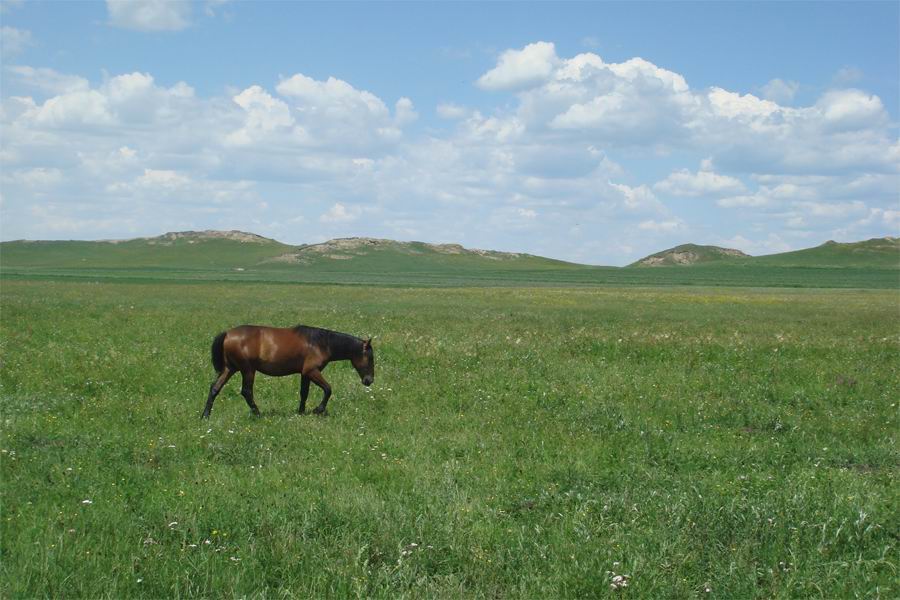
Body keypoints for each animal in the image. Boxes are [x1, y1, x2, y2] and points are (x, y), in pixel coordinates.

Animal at [202, 326, 374, 420]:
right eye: (370, 358)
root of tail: (227, 333)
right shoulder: (312, 371)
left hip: (229, 369)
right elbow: (328, 389)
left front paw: (301, 412)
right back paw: (258, 414)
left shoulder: (305, 374)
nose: (369, 380)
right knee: (246, 392)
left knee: (215, 388)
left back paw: (205, 415)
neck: (321, 343)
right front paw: (318, 409)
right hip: (248, 370)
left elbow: (304, 393)